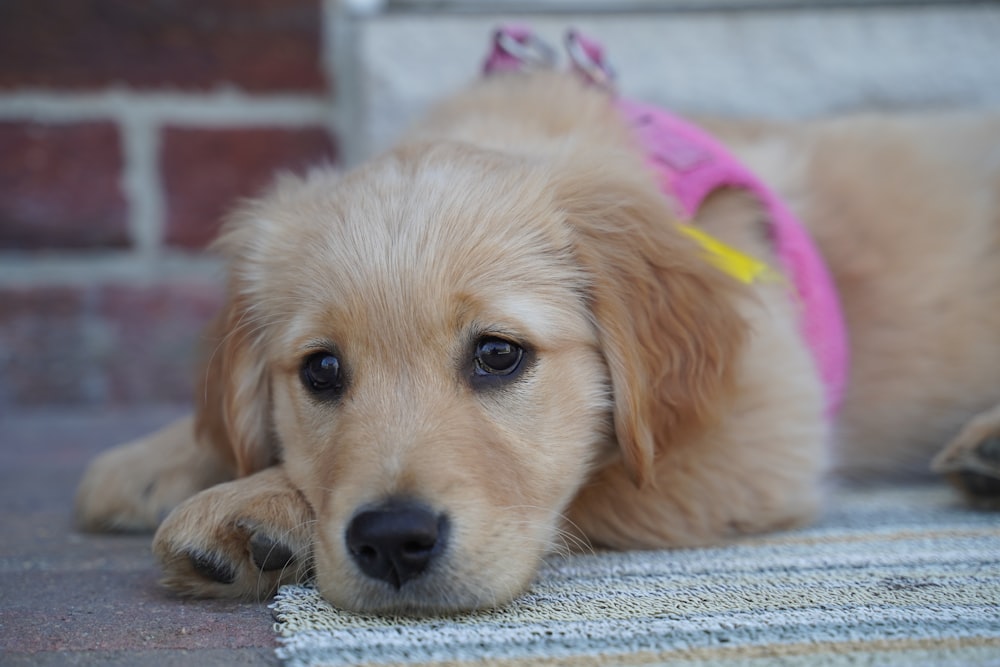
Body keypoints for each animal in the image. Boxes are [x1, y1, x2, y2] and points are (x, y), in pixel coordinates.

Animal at [78, 31, 1000, 616]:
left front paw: (256, 505)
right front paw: (151, 464)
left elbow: (582, 485)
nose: (393, 541)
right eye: (321, 371)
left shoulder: (762, 430)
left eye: (498, 354)